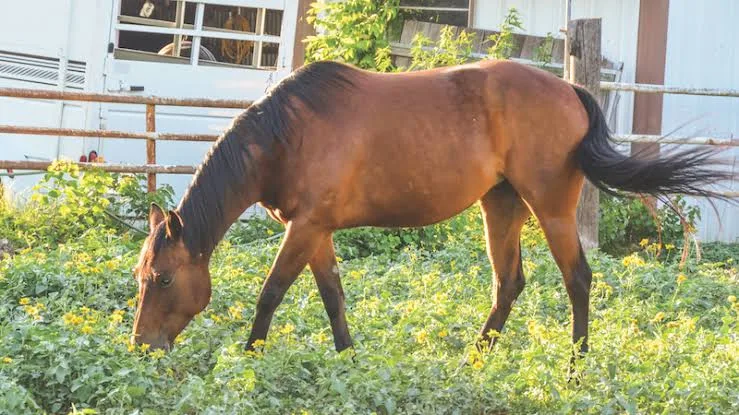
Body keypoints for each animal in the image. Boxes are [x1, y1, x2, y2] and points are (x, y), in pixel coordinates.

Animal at [131, 59, 732, 363]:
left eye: (163, 280)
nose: (142, 347)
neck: (287, 135)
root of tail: (569, 89)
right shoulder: (316, 230)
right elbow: (333, 297)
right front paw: (349, 361)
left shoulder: (305, 228)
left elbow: (270, 294)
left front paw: (249, 360)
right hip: (501, 205)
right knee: (509, 283)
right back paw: (476, 358)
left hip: (552, 209)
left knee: (578, 279)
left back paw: (576, 368)